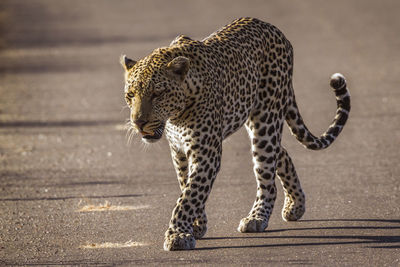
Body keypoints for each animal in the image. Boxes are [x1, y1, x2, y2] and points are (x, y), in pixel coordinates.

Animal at [119, 16, 350, 251]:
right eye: (130, 95)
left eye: (157, 94)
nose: (138, 122)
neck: (176, 116)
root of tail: (275, 30)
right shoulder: (179, 151)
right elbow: (187, 185)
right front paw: (195, 225)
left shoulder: (206, 154)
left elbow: (189, 195)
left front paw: (178, 234)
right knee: (282, 153)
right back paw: (295, 205)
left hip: (265, 121)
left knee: (268, 176)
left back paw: (257, 218)